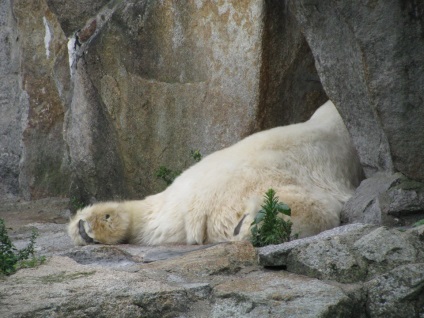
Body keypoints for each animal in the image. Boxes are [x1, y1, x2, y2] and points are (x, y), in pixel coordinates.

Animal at [68, 100, 362, 246]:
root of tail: (202, 209)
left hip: (181, 196)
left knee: (152, 215)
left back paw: (96, 223)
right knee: (311, 208)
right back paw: (259, 225)